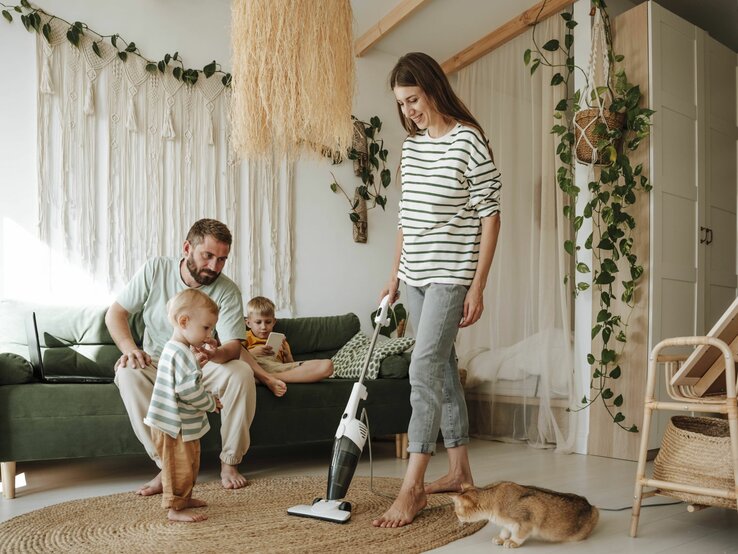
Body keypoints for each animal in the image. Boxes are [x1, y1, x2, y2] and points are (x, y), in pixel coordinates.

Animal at [448, 480, 600, 544]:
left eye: (457, 512)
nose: (457, 519)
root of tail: (589, 504)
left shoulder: (531, 514)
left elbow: (520, 534)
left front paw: (512, 542)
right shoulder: (507, 523)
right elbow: (505, 529)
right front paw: (501, 538)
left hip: (596, 513)